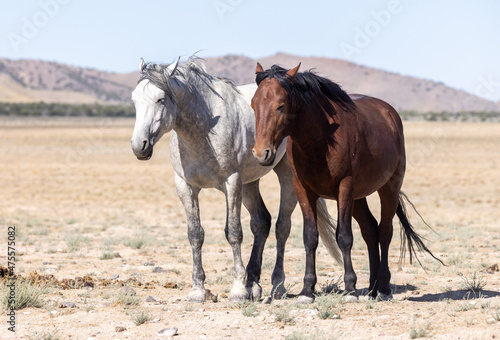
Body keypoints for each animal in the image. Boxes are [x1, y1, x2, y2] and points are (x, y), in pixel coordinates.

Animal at [129, 56, 342, 302]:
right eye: (134, 100)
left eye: (160, 99)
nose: (139, 145)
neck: (204, 130)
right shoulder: (185, 186)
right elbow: (195, 234)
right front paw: (198, 289)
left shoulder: (231, 183)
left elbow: (233, 233)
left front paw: (238, 290)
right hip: (249, 184)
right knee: (261, 222)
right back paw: (254, 284)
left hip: (285, 177)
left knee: (282, 226)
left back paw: (277, 285)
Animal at [252, 62, 440, 302]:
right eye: (253, 104)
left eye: (280, 106)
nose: (261, 153)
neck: (320, 141)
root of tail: (390, 113)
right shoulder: (302, 189)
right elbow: (310, 237)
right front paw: (307, 290)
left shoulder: (344, 187)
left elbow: (344, 236)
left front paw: (350, 288)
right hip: (358, 197)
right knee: (370, 230)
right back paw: (372, 288)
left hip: (388, 188)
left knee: (385, 231)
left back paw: (384, 288)